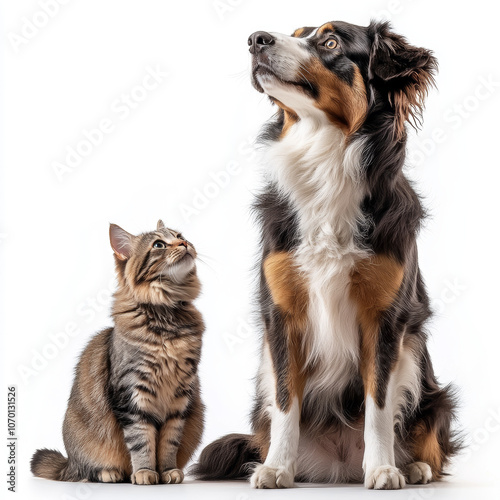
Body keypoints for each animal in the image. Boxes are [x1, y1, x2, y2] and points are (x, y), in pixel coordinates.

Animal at [30, 220, 205, 484]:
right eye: (159, 245)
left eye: (179, 235)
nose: (184, 243)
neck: (166, 315)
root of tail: (68, 463)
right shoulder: (132, 393)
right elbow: (141, 441)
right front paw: (144, 472)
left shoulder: (180, 398)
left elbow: (169, 442)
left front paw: (167, 471)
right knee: (87, 471)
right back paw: (110, 473)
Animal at [193, 18, 458, 488]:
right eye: (296, 33)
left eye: (331, 42)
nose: (255, 39)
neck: (326, 157)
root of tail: (338, 465)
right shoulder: (282, 312)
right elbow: (286, 400)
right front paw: (276, 468)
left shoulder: (385, 317)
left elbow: (378, 403)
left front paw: (384, 468)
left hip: (424, 372)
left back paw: (412, 466)